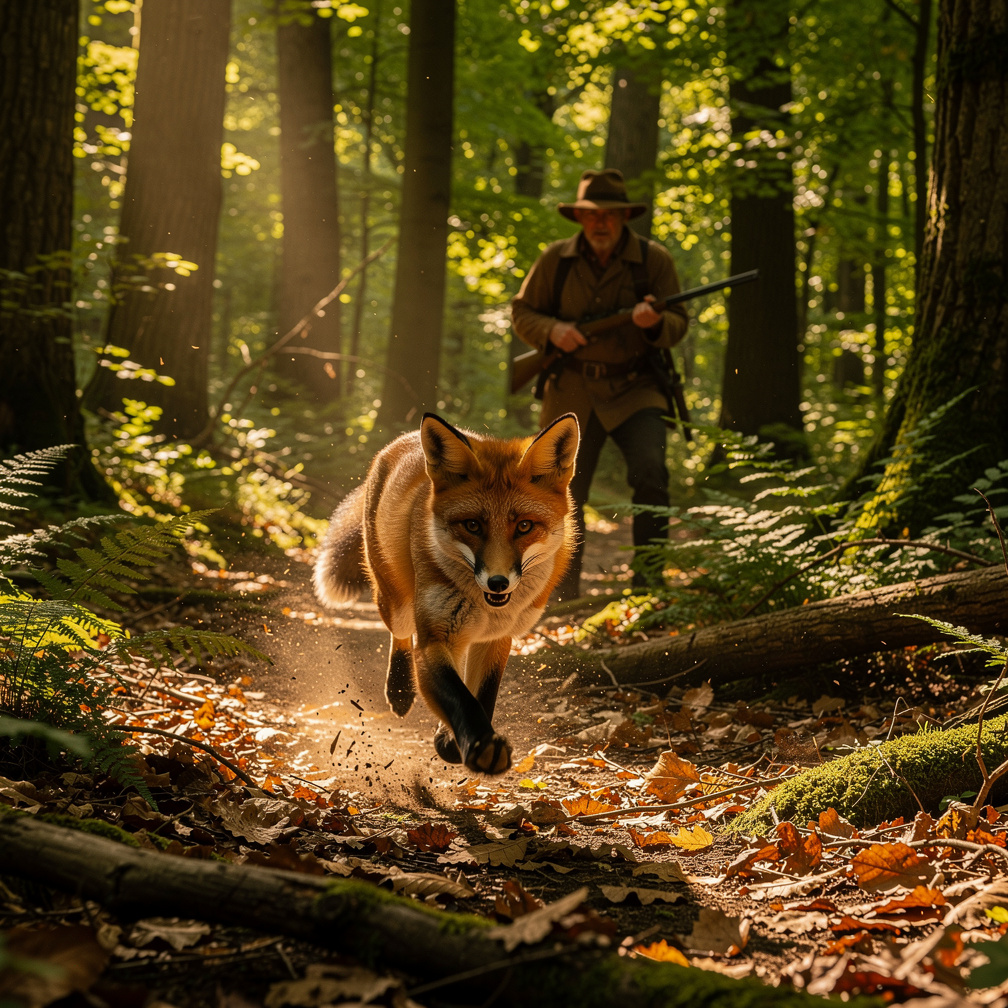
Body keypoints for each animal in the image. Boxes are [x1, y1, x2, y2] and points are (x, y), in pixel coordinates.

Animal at [313, 412, 580, 775]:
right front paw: (481, 745)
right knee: (400, 634)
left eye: (524, 526)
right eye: (472, 525)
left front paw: (454, 740)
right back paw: (400, 689)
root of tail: (403, 439)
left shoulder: (498, 637)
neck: (486, 608)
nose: (497, 582)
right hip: (395, 601)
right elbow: (459, 697)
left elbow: (482, 695)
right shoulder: (434, 638)